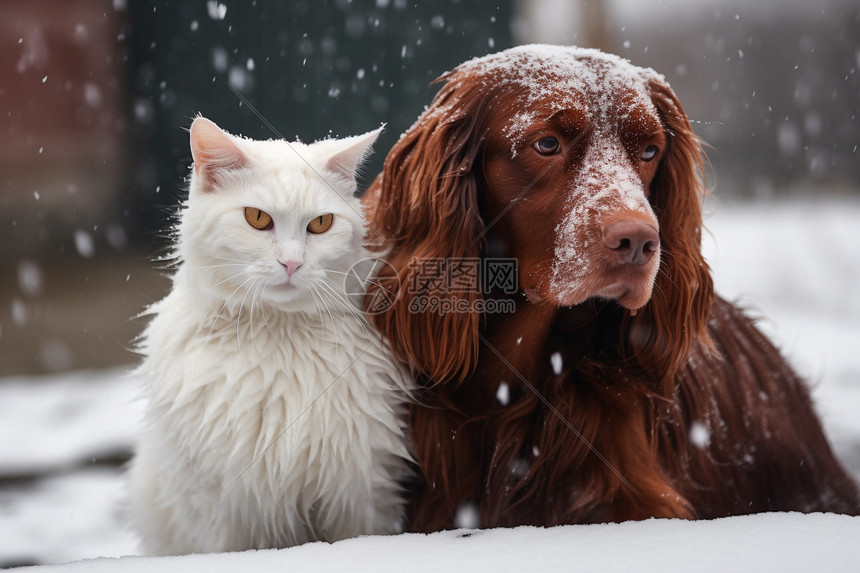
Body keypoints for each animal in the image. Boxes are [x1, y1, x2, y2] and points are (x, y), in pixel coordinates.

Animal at [125, 117, 416, 556]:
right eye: (257, 219)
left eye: (321, 224)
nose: (291, 263)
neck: (280, 334)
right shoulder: (221, 510)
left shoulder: (362, 491)